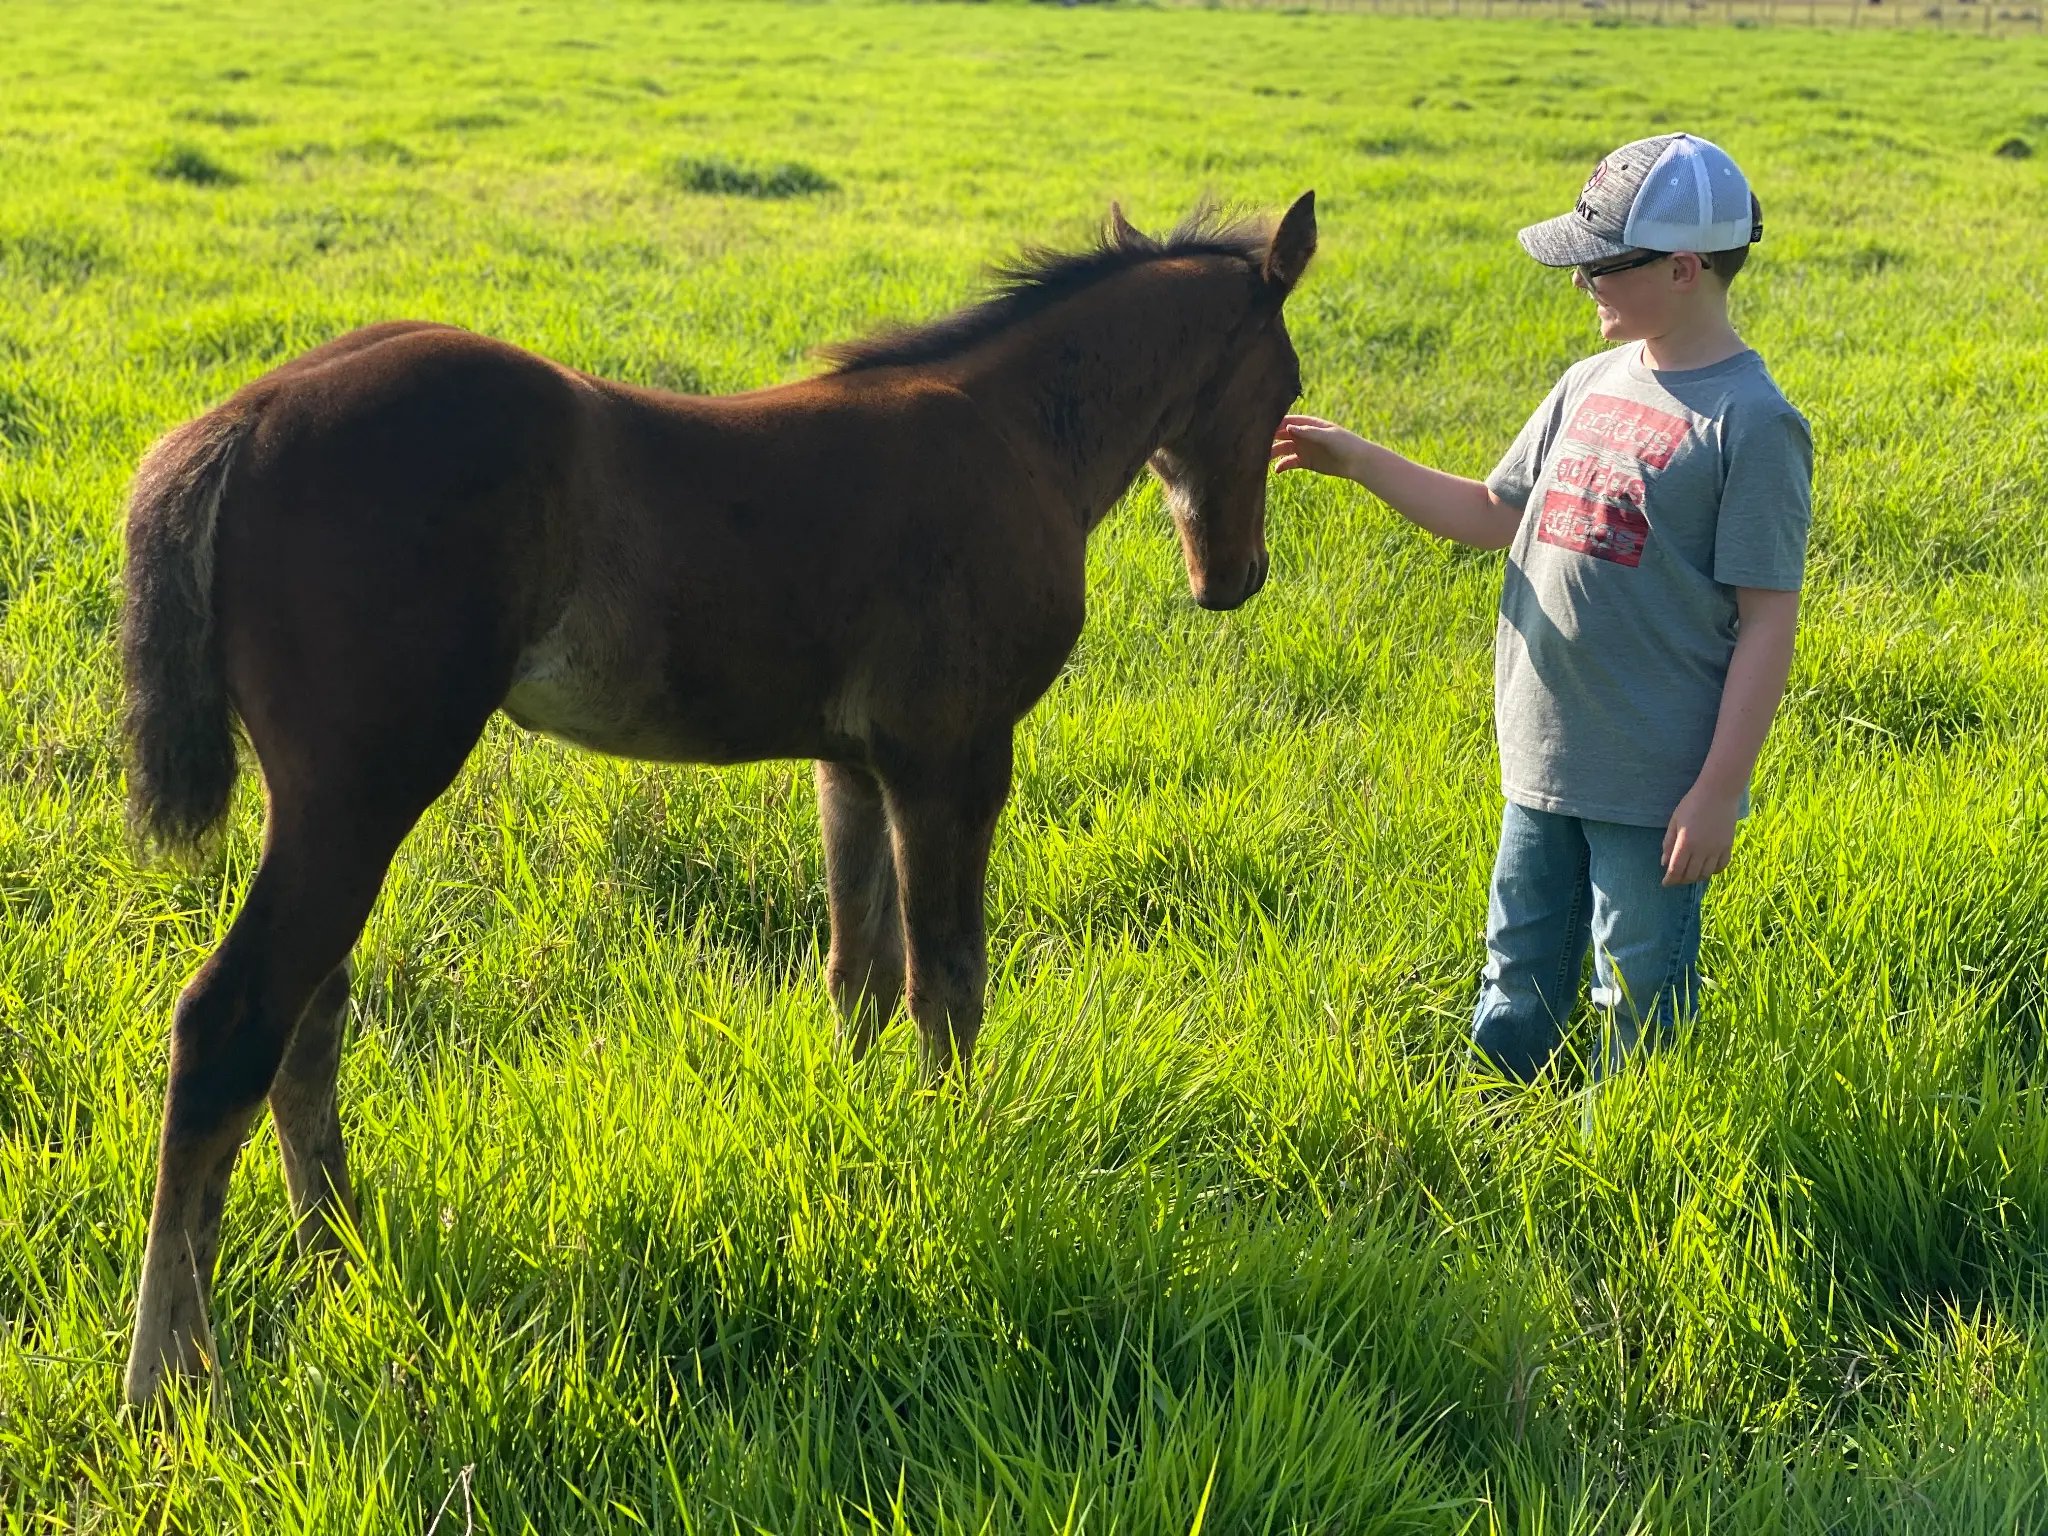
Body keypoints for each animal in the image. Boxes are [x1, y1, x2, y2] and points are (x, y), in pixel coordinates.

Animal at [116, 192, 1317, 1408]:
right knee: (230, 1022)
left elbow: (859, 971)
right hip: (361, 792)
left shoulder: (855, 765)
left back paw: (342, 1253)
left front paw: (857, 1137)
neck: (1016, 434)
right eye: (1285, 389)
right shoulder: (955, 757)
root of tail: (247, 415)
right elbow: (948, 986)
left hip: (326, 807)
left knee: (308, 1017)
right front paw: (956, 1163)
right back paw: (171, 1372)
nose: (1234, 578)